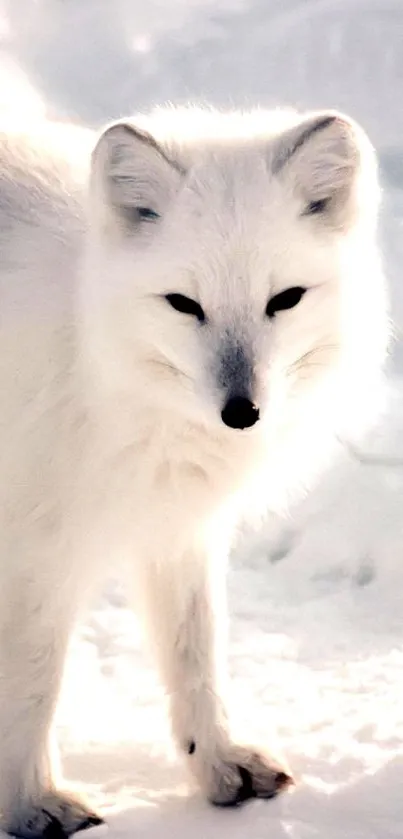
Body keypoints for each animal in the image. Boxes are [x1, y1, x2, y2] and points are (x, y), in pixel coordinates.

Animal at [0, 108, 390, 836]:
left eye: (285, 299)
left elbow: (195, 651)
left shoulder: (176, 525)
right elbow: (33, 679)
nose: (242, 412)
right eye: (183, 303)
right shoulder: (38, 550)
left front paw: (218, 760)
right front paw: (30, 802)